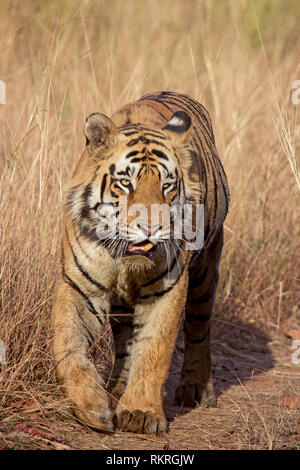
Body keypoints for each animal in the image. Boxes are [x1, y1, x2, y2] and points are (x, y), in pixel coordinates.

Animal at [52, 90, 230, 436]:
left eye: (167, 185)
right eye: (125, 183)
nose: (151, 228)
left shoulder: (168, 288)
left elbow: (154, 350)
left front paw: (141, 412)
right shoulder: (78, 286)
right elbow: (67, 345)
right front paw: (91, 406)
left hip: (206, 269)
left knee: (198, 327)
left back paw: (196, 389)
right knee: (125, 340)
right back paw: (116, 389)